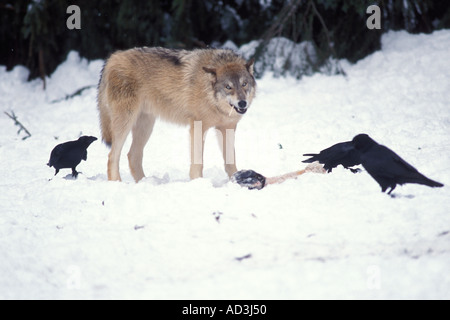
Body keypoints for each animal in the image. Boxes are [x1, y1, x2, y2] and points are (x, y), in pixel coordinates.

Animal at [96, 47, 255, 182]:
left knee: (133, 155)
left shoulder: (228, 128)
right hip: (126, 122)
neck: (210, 96)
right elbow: (198, 162)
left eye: (244, 84)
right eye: (228, 87)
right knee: (113, 155)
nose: (242, 103)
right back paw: (117, 183)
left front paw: (236, 179)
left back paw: (145, 182)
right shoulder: (197, 127)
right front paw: (197, 182)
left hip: (146, 126)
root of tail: (113, 57)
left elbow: (230, 161)